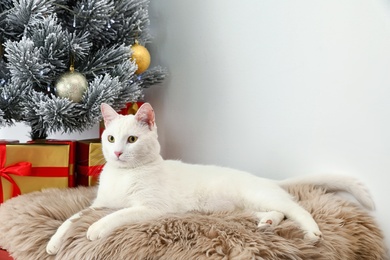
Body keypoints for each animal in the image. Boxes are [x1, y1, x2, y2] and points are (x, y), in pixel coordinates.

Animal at [45, 102, 374, 255]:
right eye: (111, 137)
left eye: (132, 139)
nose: (116, 152)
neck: (124, 176)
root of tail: (265, 180)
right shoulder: (99, 204)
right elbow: (73, 218)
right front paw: (53, 242)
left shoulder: (149, 208)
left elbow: (115, 216)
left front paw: (95, 230)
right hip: (246, 206)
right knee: (277, 212)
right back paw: (266, 222)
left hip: (261, 195)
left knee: (296, 209)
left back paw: (311, 232)